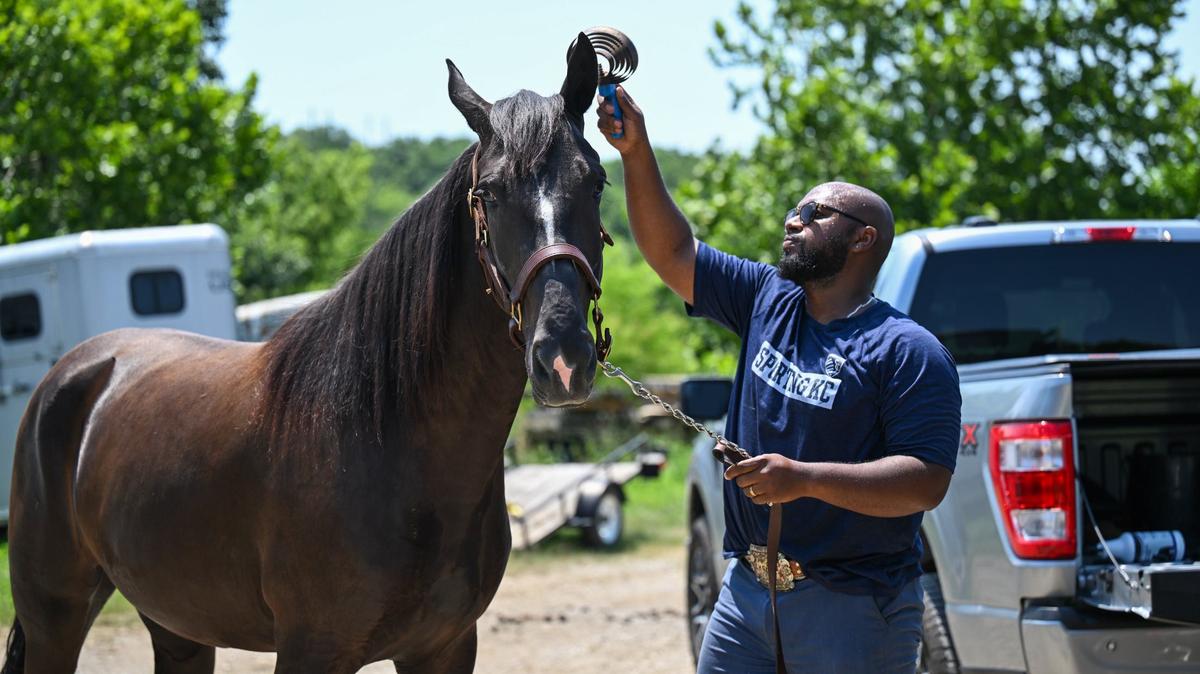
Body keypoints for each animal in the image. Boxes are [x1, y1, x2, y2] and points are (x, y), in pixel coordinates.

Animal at [3, 35, 610, 674]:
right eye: (487, 194)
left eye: (595, 182)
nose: (563, 358)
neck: (385, 441)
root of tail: (76, 372)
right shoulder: (311, 649)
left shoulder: (444, 648)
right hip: (54, 620)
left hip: (177, 625)